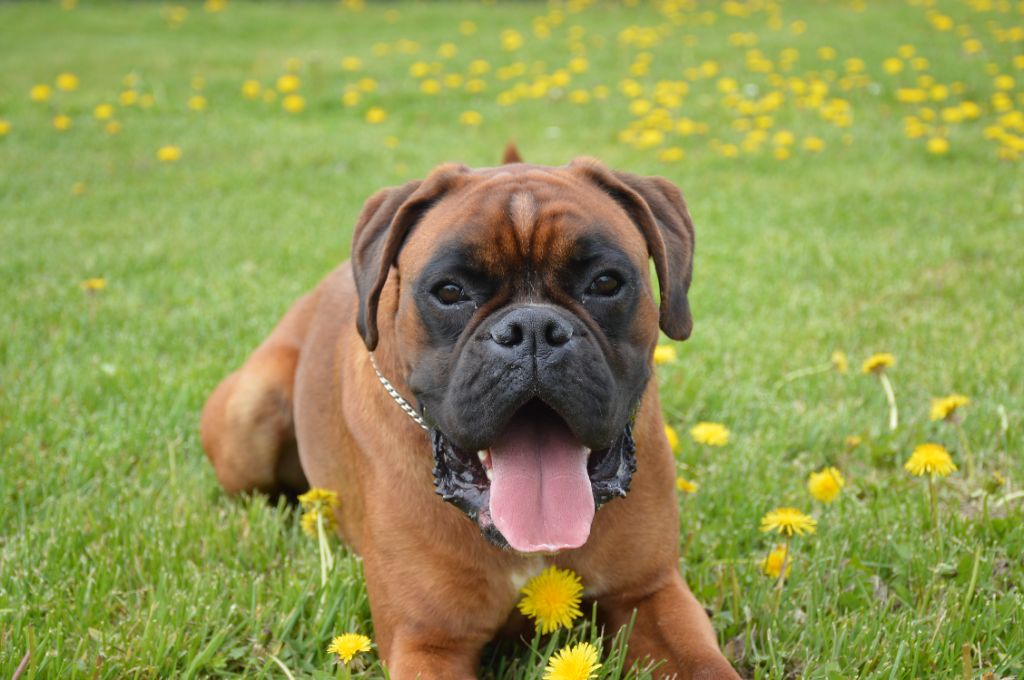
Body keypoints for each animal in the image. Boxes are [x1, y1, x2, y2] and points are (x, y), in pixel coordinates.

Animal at [199, 150, 741, 680]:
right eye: (450, 291)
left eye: (606, 282)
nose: (532, 329)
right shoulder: (429, 644)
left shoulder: (651, 594)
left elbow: (706, 666)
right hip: (251, 410)